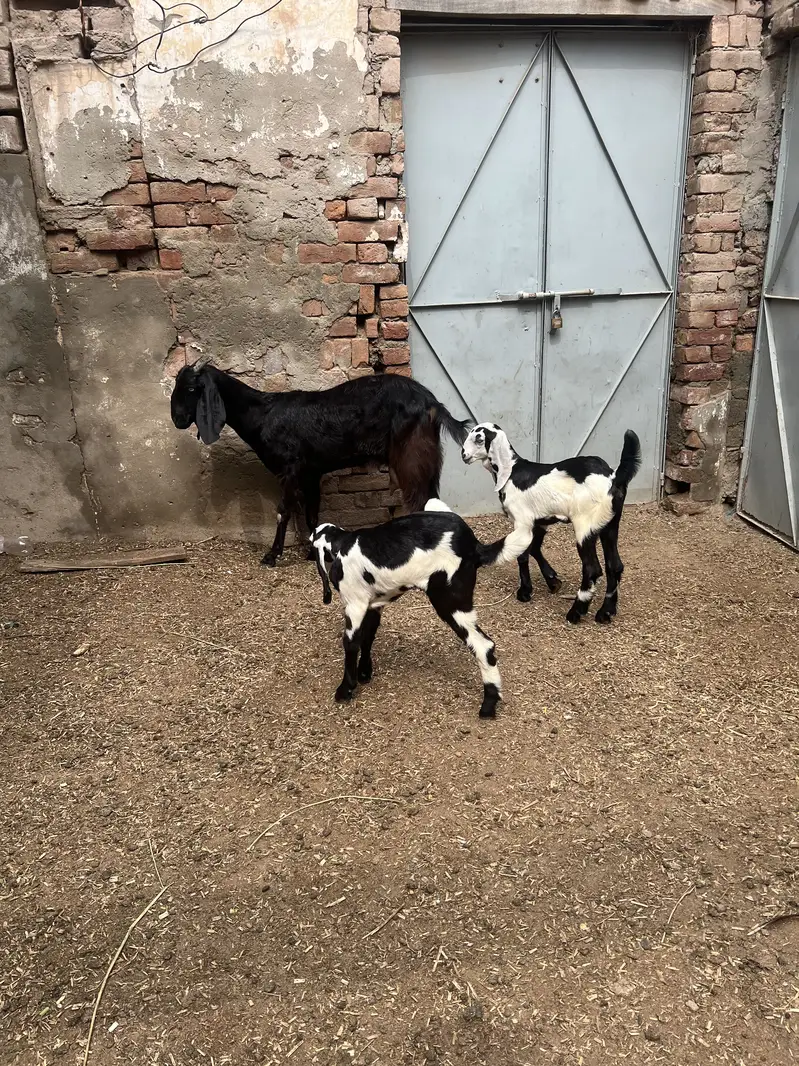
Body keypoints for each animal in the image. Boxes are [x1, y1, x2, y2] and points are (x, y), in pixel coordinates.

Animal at [170, 363, 472, 567]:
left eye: (192, 388)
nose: (178, 419)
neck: (263, 413)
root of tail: (432, 403)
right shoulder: (311, 472)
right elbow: (312, 513)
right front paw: (311, 552)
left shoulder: (291, 468)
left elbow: (283, 511)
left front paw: (272, 555)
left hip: (410, 455)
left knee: (420, 498)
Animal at [310, 500, 534, 718]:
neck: (342, 545)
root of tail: (474, 546)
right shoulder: (373, 605)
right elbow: (368, 637)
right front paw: (364, 672)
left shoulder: (354, 604)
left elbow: (351, 643)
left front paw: (345, 689)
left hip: (450, 602)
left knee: (483, 645)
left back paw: (488, 706)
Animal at [461, 424, 641, 624]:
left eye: (479, 438)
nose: (464, 455)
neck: (512, 472)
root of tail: (613, 477)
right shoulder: (540, 522)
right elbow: (534, 549)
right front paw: (553, 581)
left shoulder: (522, 522)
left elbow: (522, 555)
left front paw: (524, 592)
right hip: (609, 525)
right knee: (614, 566)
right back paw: (605, 612)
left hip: (585, 526)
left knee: (592, 569)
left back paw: (576, 612)